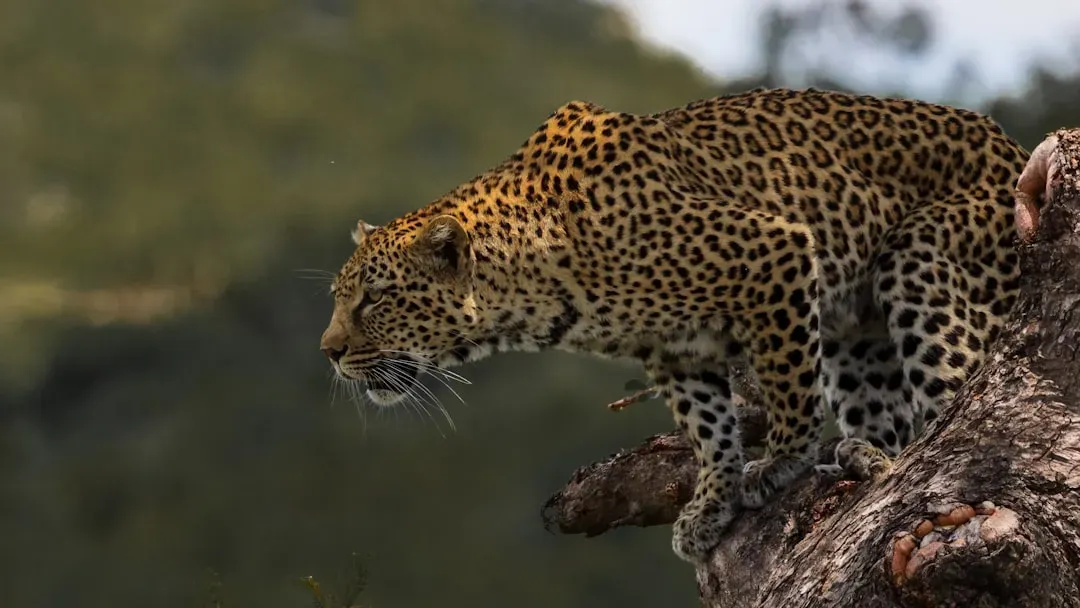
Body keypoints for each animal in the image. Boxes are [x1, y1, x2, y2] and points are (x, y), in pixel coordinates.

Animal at [319, 87, 1029, 565]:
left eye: (376, 299)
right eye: (340, 298)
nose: (329, 351)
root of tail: (1016, 147)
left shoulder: (774, 253)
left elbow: (788, 384)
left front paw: (781, 460)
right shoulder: (675, 348)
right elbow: (707, 427)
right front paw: (712, 501)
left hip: (920, 256)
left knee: (962, 411)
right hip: (857, 339)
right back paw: (866, 455)